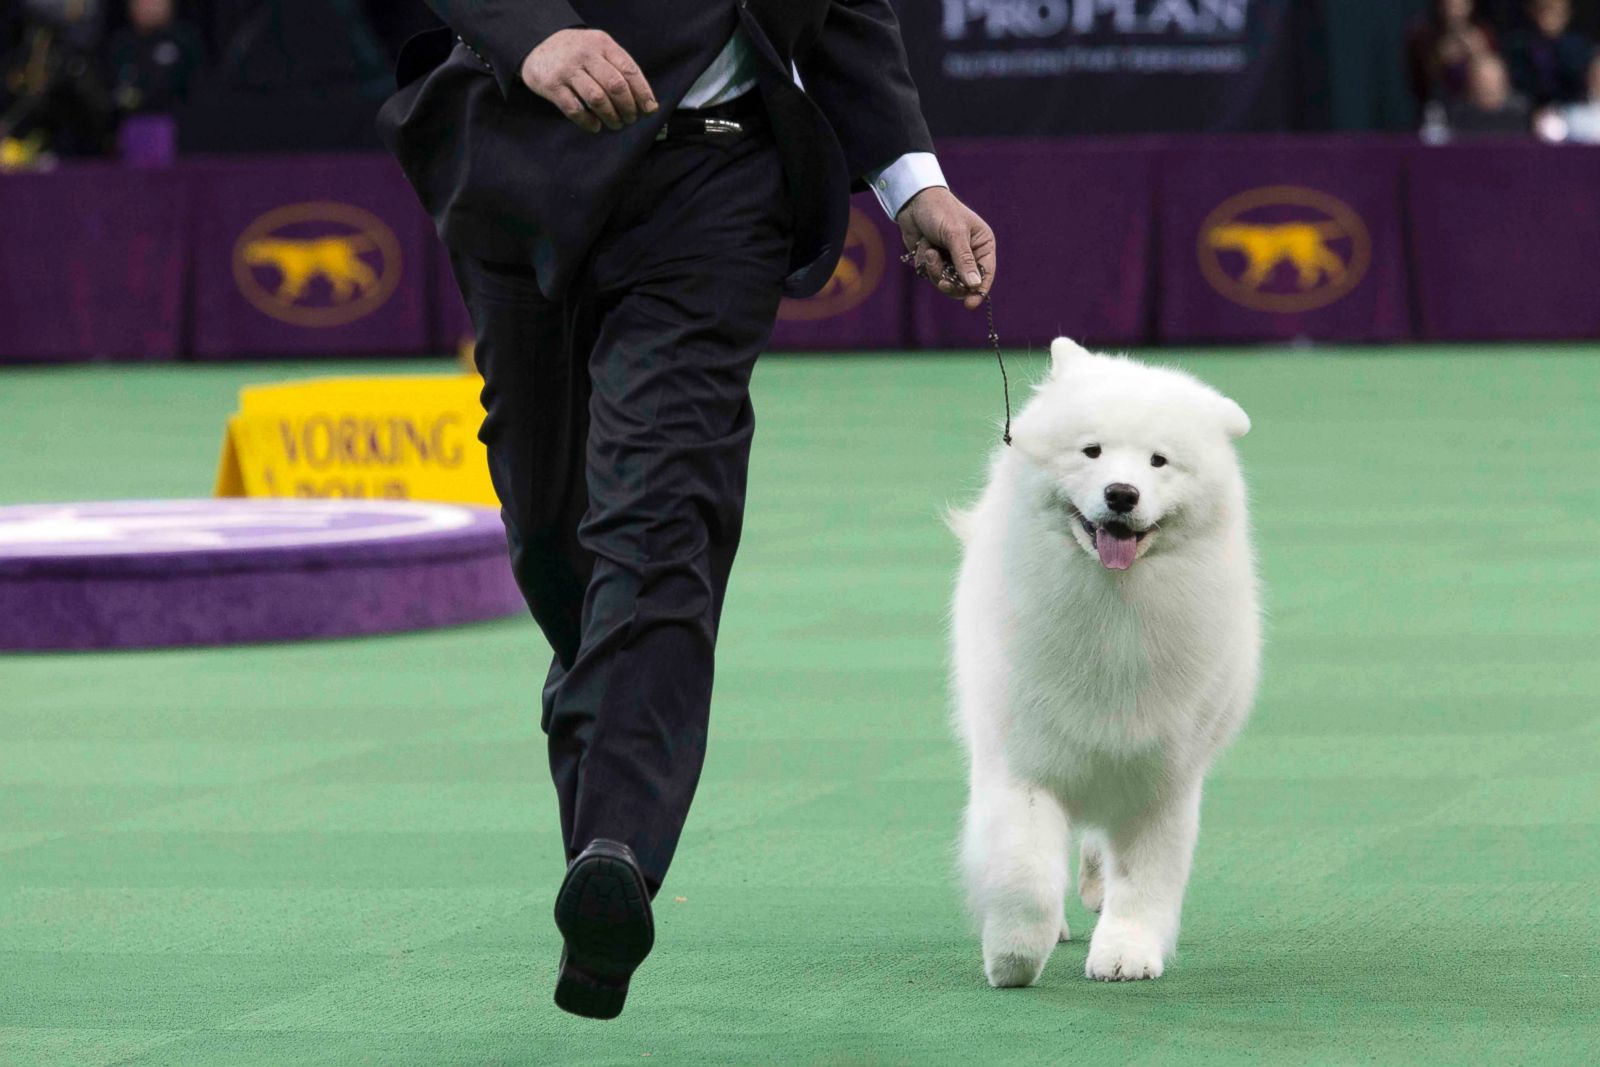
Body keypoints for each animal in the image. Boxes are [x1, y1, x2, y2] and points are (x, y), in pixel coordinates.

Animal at [947, 337, 1260, 991]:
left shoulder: (1160, 779)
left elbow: (1143, 883)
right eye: (1091, 451)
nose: (1122, 493)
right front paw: (1013, 957)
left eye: (1159, 462)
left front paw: (1125, 954)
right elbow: (1024, 871)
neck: (1114, 608)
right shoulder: (1024, 763)